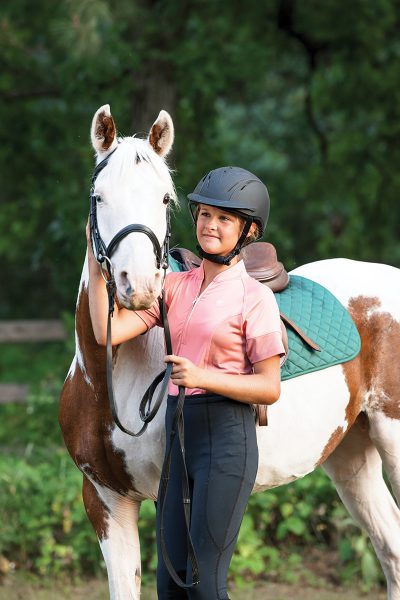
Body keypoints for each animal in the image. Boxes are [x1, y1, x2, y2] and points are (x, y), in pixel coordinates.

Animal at [59, 105, 400, 600]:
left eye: (165, 199)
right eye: (99, 197)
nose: (138, 287)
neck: (113, 382)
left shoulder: (167, 499)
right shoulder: (105, 500)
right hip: (351, 453)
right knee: (390, 548)